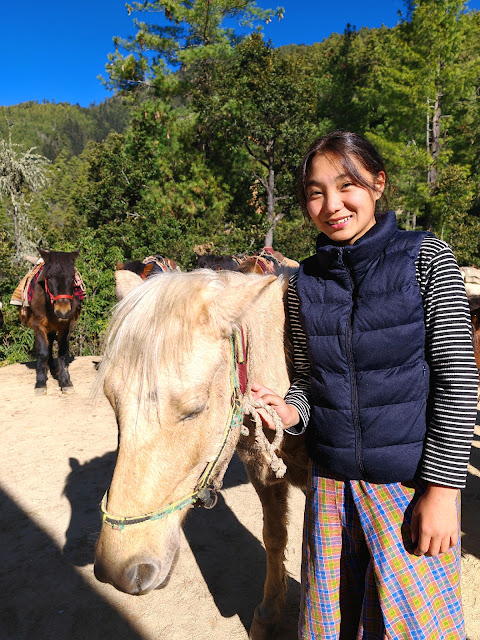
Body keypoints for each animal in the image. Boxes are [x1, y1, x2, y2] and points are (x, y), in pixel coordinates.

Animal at [19, 250, 84, 396]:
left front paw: (65, 381)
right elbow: (43, 352)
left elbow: (62, 353)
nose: (63, 311)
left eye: (73, 277)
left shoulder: (65, 325)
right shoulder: (38, 325)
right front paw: (41, 382)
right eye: (48, 277)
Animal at [94, 270, 308, 640]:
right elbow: (274, 538)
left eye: (195, 409)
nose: (119, 570)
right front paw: (268, 614)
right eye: (111, 400)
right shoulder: (264, 476)